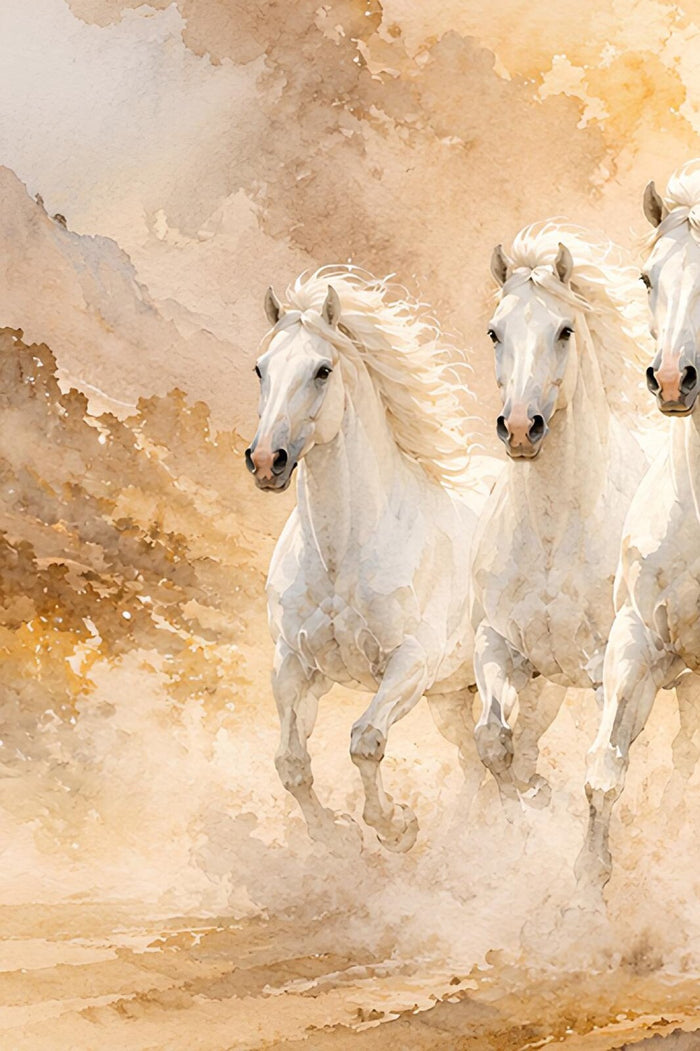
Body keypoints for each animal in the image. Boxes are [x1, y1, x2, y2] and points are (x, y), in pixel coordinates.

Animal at [245, 266, 499, 851]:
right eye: (261, 368)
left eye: (322, 369)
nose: (267, 461)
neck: (343, 556)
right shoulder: (293, 664)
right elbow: (291, 763)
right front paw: (333, 838)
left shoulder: (410, 664)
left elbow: (365, 741)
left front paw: (396, 825)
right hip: (451, 695)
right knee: (475, 760)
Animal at [469, 221, 654, 808]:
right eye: (494, 333)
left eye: (565, 330)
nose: (520, 429)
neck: (552, 536)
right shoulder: (500, 644)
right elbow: (494, 741)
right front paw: (523, 805)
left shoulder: (605, 671)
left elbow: (609, 761)